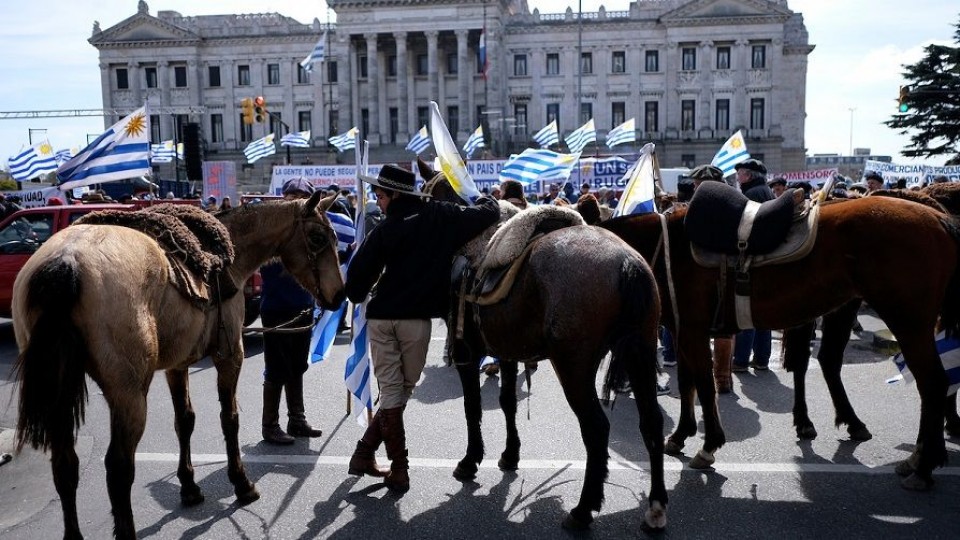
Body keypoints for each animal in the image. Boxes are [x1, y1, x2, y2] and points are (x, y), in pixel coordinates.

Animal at [12, 195, 348, 540]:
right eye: (318, 238)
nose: (340, 295)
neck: (231, 255)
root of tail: (67, 261)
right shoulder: (230, 356)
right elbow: (230, 419)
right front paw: (241, 483)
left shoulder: (177, 365)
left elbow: (184, 421)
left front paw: (189, 487)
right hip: (129, 395)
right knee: (118, 468)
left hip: (59, 393)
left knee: (65, 465)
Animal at [420, 161, 668, 532]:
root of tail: (627, 263)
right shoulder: (506, 350)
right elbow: (507, 402)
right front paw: (510, 454)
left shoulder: (467, 351)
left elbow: (472, 406)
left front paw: (471, 459)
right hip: (641, 351)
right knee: (651, 421)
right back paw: (655, 506)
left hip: (574, 367)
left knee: (596, 429)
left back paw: (583, 509)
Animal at [600, 192, 960, 492]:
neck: (663, 247)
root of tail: (938, 217)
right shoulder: (682, 330)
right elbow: (687, 382)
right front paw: (680, 436)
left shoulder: (691, 330)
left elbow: (703, 384)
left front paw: (709, 444)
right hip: (847, 308)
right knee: (837, 362)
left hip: (908, 321)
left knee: (933, 383)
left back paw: (923, 466)